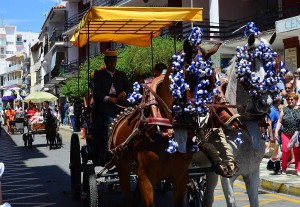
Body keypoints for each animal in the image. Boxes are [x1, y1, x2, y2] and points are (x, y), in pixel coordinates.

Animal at [193, 32, 278, 207]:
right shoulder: (228, 174)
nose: (265, 102)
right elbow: (231, 202)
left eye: (272, 62)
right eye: (250, 62)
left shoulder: (252, 172)